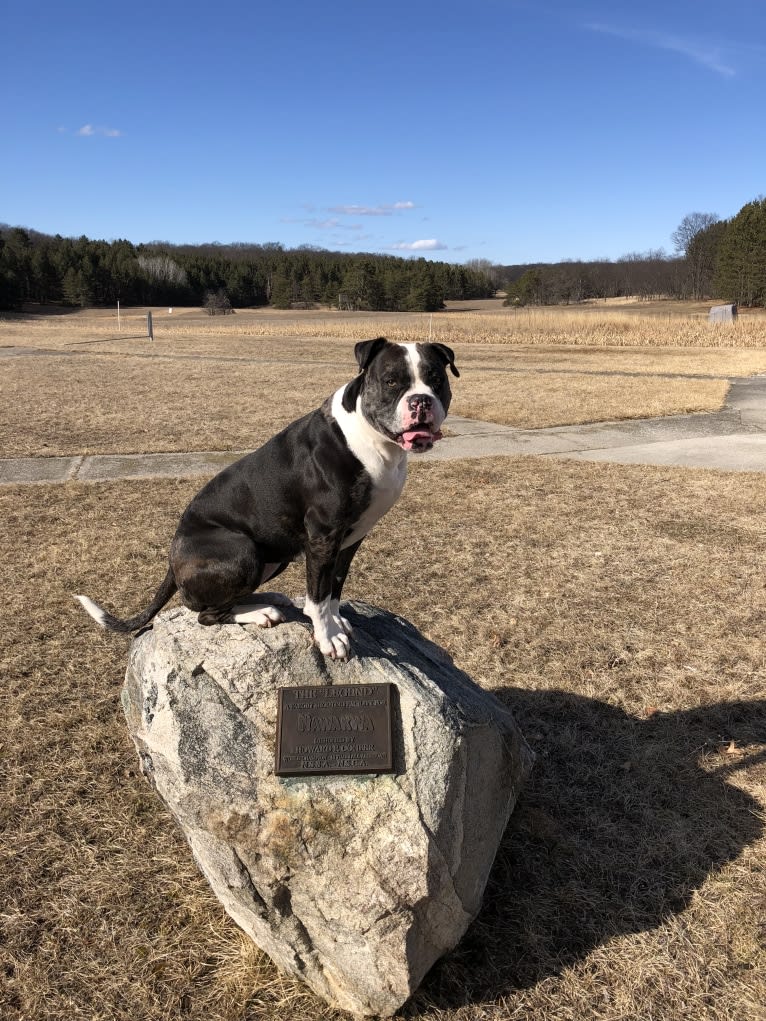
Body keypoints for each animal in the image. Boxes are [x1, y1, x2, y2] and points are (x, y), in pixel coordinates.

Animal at [76, 336, 461, 661]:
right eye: (392, 380)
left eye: (436, 379)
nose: (421, 401)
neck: (370, 438)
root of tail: (173, 558)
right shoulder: (323, 537)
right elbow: (318, 597)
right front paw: (327, 637)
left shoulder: (351, 539)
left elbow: (333, 588)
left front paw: (336, 621)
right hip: (243, 551)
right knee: (205, 613)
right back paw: (260, 612)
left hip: (274, 557)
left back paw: (269, 599)